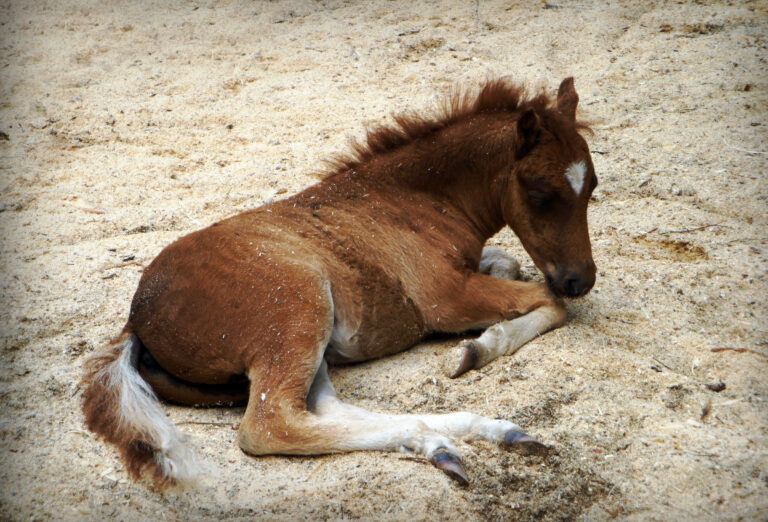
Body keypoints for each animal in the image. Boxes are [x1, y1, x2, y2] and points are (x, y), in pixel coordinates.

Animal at [82, 77, 597, 488]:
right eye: (540, 194)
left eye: (591, 185)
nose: (581, 279)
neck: (411, 199)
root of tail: (136, 320)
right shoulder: (446, 299)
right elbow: (550, 302)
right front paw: (476, 349)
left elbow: (511, 265)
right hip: (297, 308)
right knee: (270, 425)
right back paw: (442, 440)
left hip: (310, 328)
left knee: (320, 407)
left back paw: (472, 436)